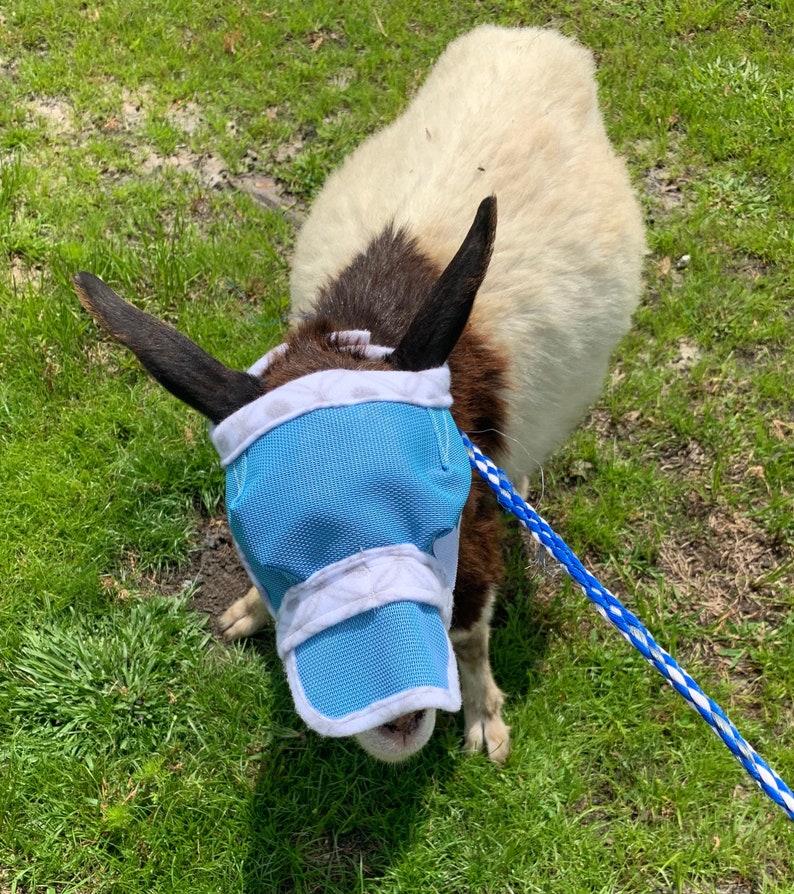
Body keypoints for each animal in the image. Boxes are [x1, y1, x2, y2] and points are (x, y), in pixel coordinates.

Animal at [74, 25, 645, 765]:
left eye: (439, 511)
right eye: (256, 536)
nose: (392, 715)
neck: (367, 332)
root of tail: (531, 37)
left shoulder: (475, 522)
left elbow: (470, 630)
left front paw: (485, 719)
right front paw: (249, 612)